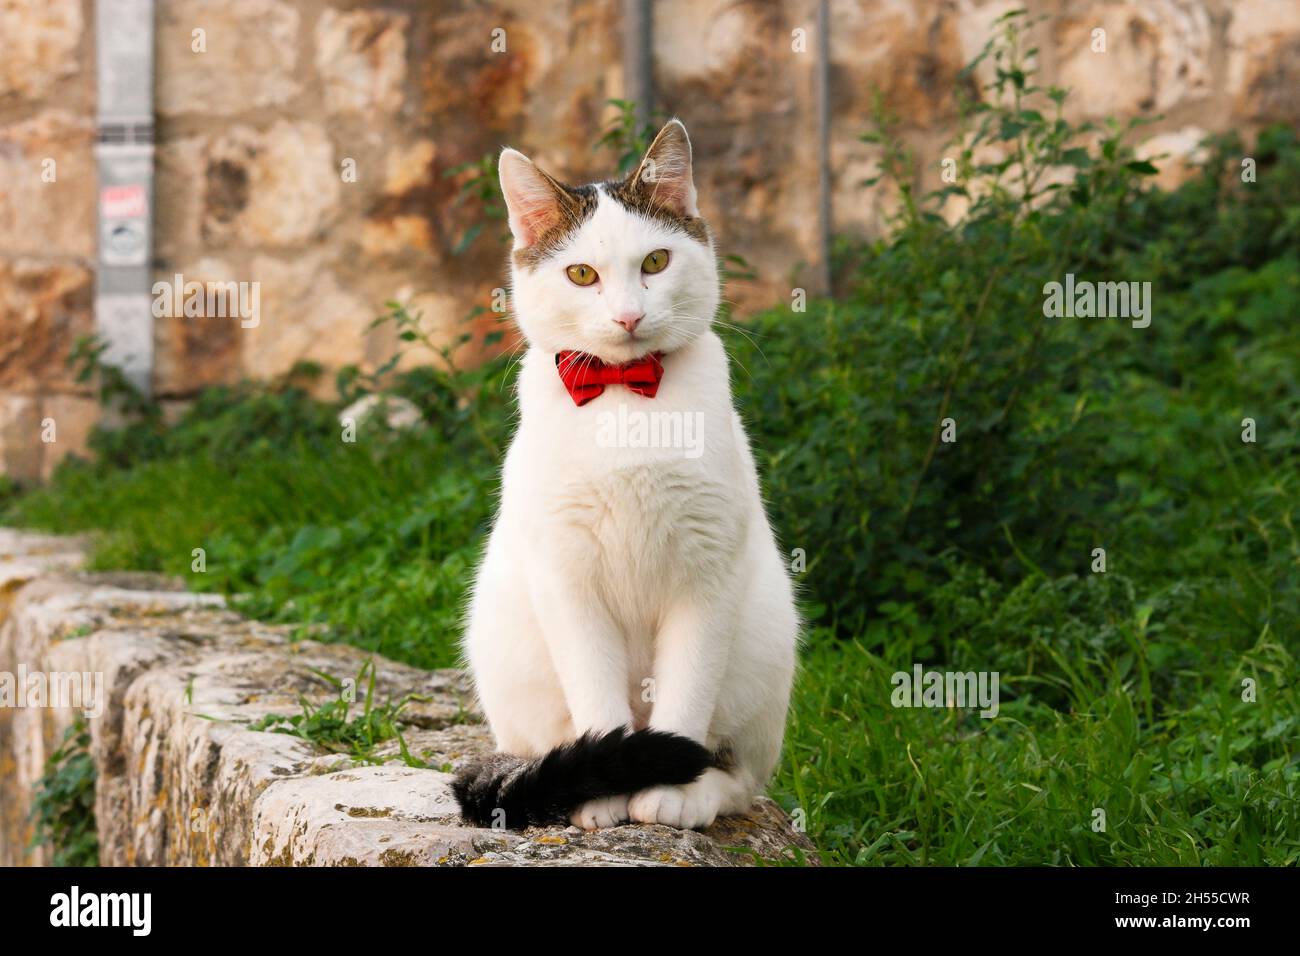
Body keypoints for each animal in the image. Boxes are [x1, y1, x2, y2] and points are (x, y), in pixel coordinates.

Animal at [457, 117, 800, 832]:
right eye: (581, 274)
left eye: (655, 263)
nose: (628, 316)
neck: (624, 398)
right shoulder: (565, 576)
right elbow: (596, 692)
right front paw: (605, 790)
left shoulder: (708, 570)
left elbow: (687, 694)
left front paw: (667, 785)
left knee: (741, 777)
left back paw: (702, 791)